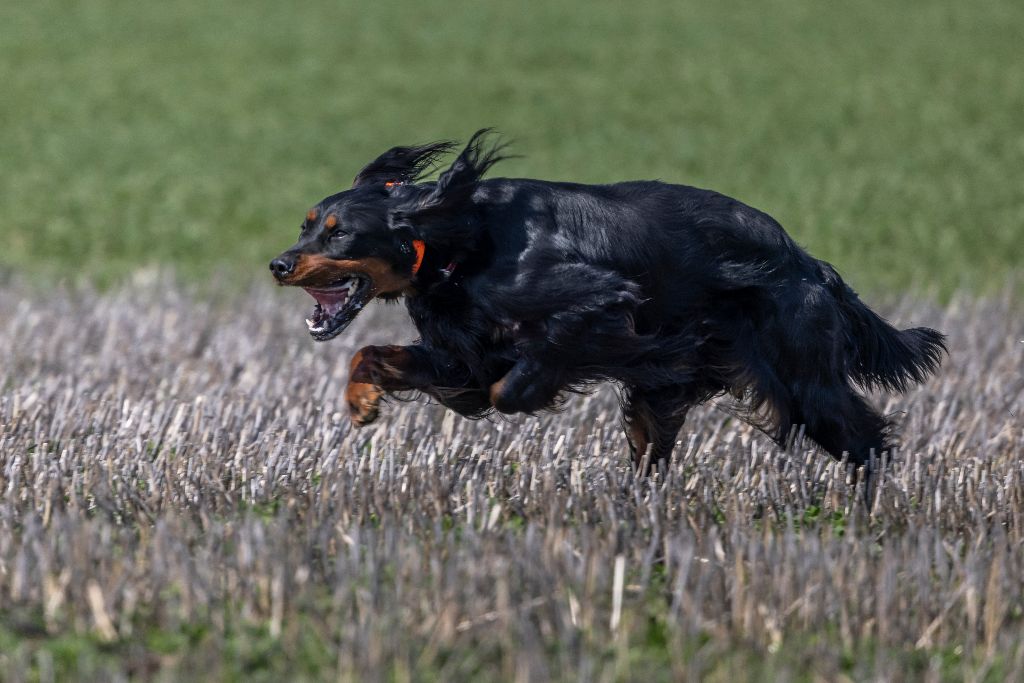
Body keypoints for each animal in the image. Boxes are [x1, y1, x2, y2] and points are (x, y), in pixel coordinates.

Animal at [270, 131, 942, 479]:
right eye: (306, 225)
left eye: (339, 233)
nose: (280, 263)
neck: (454, 234)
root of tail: (808, 262)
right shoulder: (461, 352)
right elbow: (375, 354)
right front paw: (361, 400)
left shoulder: (599, 304)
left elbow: (510, 384)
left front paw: (523, 391)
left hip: (802, 377)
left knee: (865, 439)